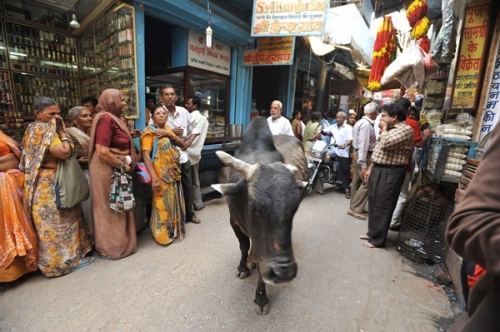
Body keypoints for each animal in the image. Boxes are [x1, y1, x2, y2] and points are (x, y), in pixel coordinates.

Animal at [212, 118, 308, 316]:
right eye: (253, 207)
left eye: (294, 208)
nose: (283, 273)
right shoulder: (234, 222)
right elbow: (244, 246)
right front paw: (243, 267)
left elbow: (260, 259)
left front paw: (261, 298)